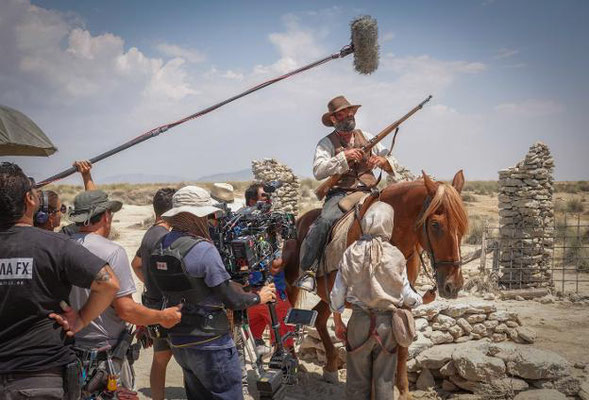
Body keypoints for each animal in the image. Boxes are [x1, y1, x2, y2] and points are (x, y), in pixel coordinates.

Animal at [282, 170, 466, 398]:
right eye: (435, 225)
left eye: (462, 225)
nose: (453, 285)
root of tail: (299, 221)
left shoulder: (402, 302)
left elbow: (401, 347)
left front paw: (404, 391)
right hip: (291, 286)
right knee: (285, 319)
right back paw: (290, 363)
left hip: (326, 294)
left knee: (319, 319)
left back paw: (331, 368)